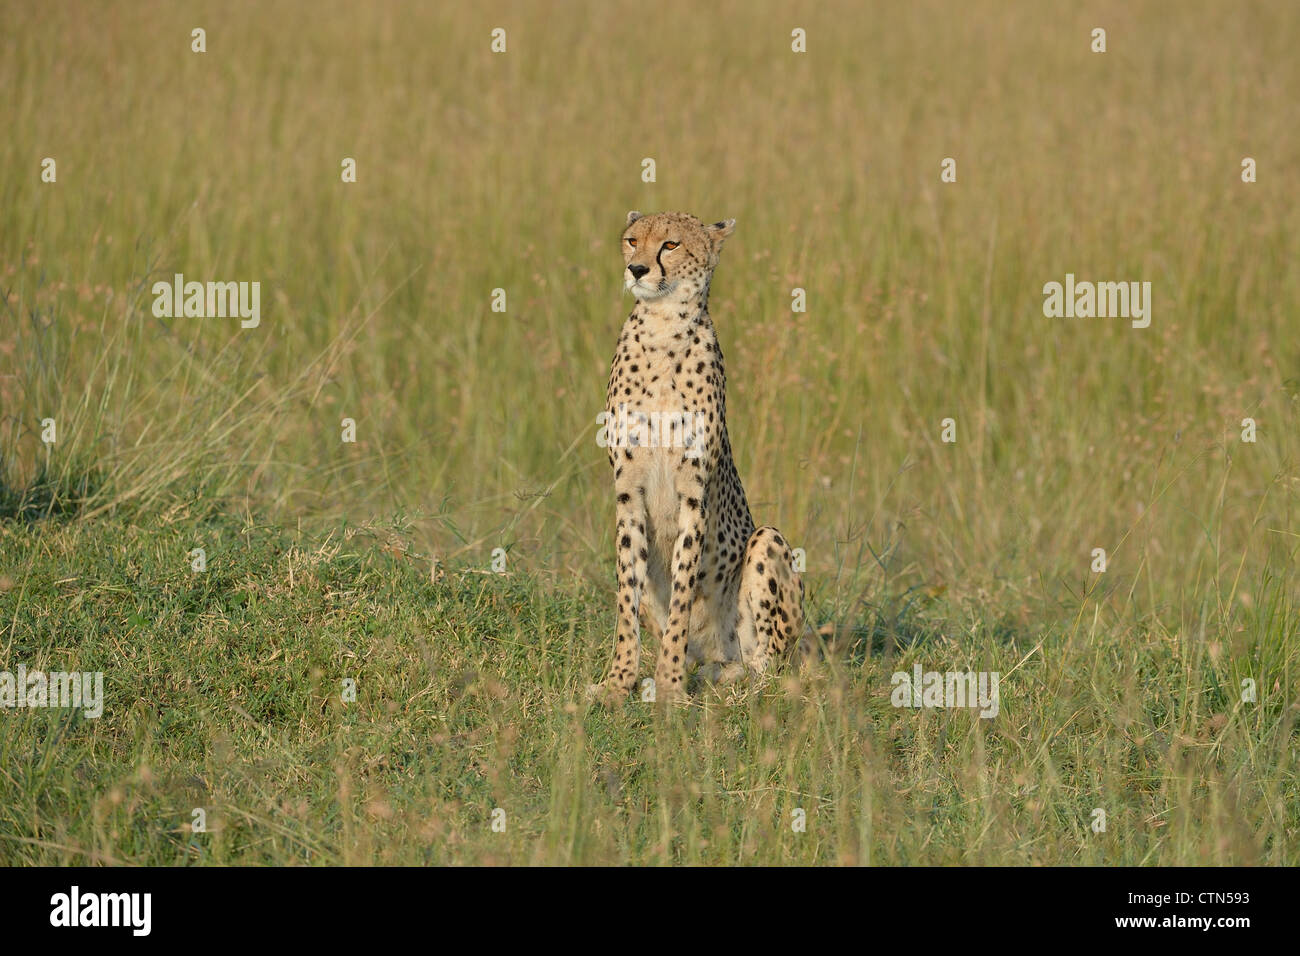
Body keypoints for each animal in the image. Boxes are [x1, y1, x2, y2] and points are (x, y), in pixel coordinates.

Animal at [592, 210, 811, 702]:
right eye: (631, 240)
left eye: (670, 244)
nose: (637, 269)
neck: (662, 328)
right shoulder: (628, 492)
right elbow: (627, 596)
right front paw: (618, 682)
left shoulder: (694, 494)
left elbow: (682, 594)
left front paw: (671, 687)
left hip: (767, 541)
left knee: (766, 665)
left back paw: (721, 676)